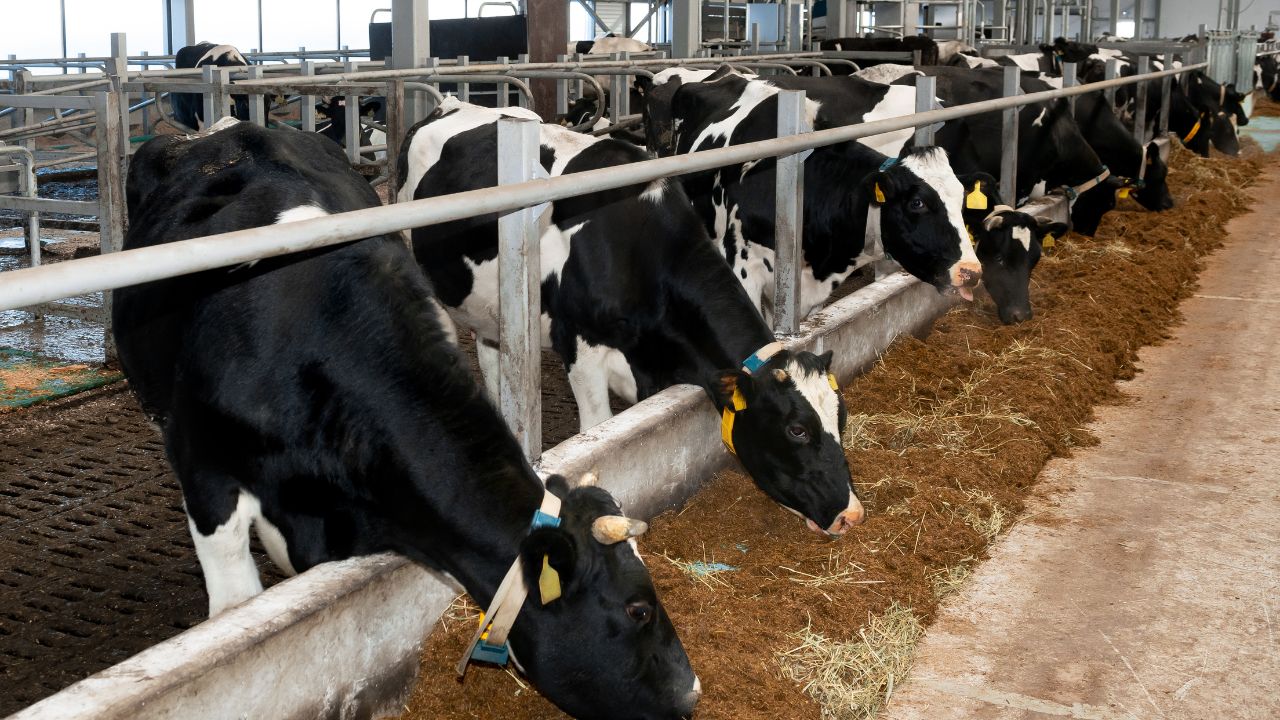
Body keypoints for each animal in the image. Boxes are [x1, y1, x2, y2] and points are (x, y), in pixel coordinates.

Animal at [398, 98, 866, 538]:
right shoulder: (581, 348)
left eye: (840, 417)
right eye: (797, 430)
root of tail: (449, 104)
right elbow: (597, 429)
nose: (851, 514)